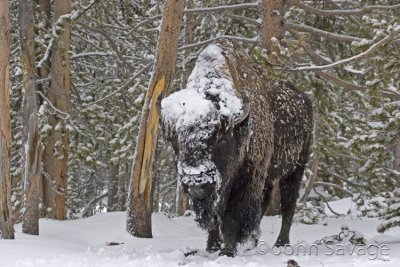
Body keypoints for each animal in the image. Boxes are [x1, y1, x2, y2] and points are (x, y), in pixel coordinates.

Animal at [159, 40, 312, 258]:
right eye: (176, 141)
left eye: (221, 140)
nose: (197, 182)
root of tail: (303, 99)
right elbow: (216, 216)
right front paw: (212, 246)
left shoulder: (245, 180)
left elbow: (232, 214)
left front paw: (228, 250)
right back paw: (252, 240)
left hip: (295, 169)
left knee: (288, 205)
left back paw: (281, 243)